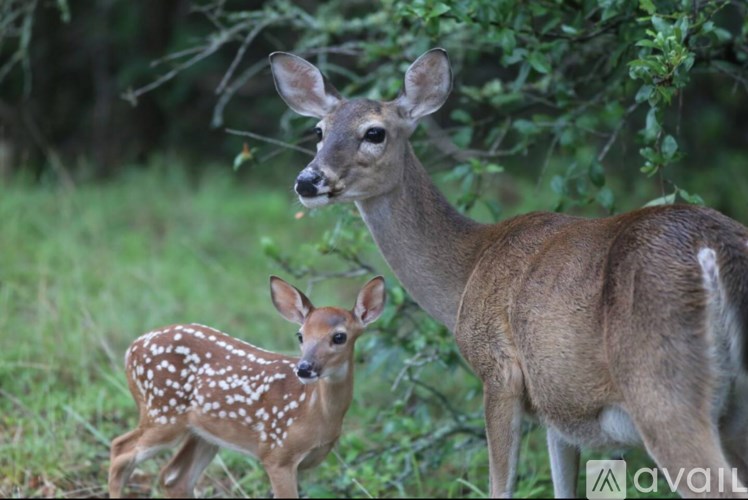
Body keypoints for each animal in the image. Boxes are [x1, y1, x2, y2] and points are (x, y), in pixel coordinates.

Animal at [108, 275, 386, 498]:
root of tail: (131, 350)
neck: (315, 412)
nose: (305, 368)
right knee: (120, 450)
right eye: (300, 335)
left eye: (339, 337)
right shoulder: (277, 453)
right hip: (163, 413)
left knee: (174, 477)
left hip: (203, 432)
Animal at [269, 48, 748, 498]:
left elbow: (501, 486)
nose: (308, 181)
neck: (468, 270)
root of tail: (716, 250)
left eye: (374, 132)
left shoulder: (498, 371)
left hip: (662, 386)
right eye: (318, 131)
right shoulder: (557, 403)